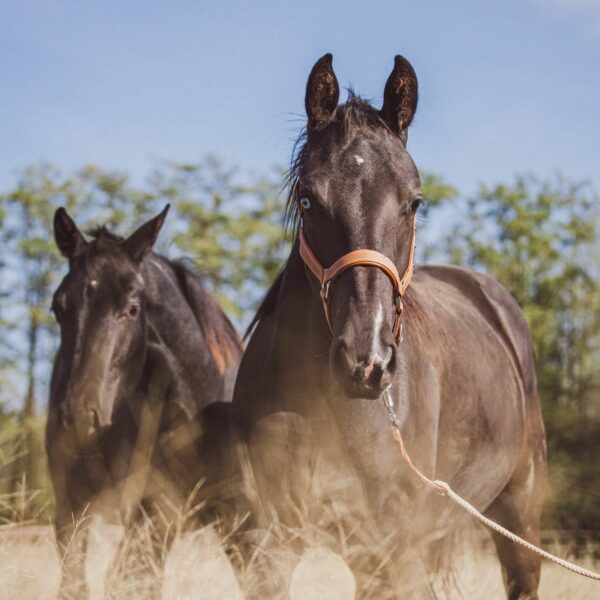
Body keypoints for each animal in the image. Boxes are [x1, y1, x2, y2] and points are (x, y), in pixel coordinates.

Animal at [231, 54, 548, 596]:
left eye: (414, 202)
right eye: (308, 199)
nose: (366, 362)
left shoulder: (389, 556)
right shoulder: (268, 547)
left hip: (520, 520)